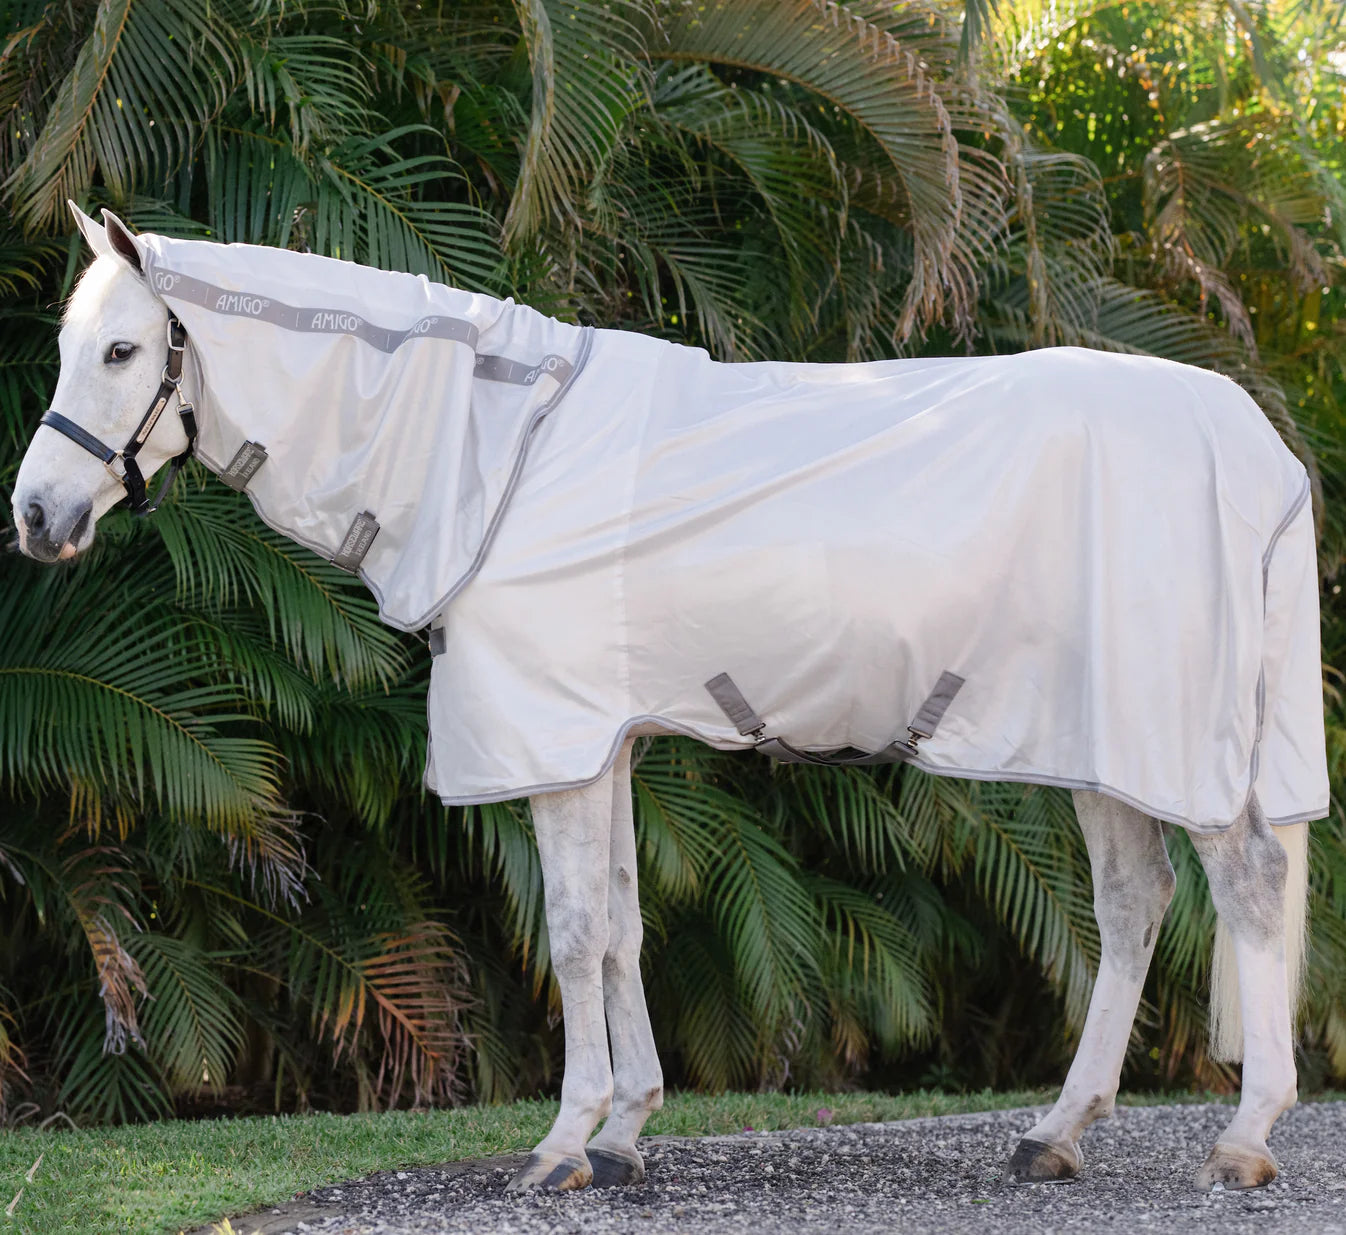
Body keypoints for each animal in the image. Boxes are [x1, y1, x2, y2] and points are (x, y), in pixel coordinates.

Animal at [11, 204, 1324, 1194]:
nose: (34, 514)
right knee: (1136, 902)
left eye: (122, 351)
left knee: (1246, 882)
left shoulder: (550, 742)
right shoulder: (605, 743)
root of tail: (1255, 446)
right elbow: (624, 924)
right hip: (1104, 740)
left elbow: (573, 929)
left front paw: (562, 1141)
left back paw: (1244, 1135)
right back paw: (1055, 1130)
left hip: (1171, 736)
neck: (493, 451)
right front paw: (630, 1127)